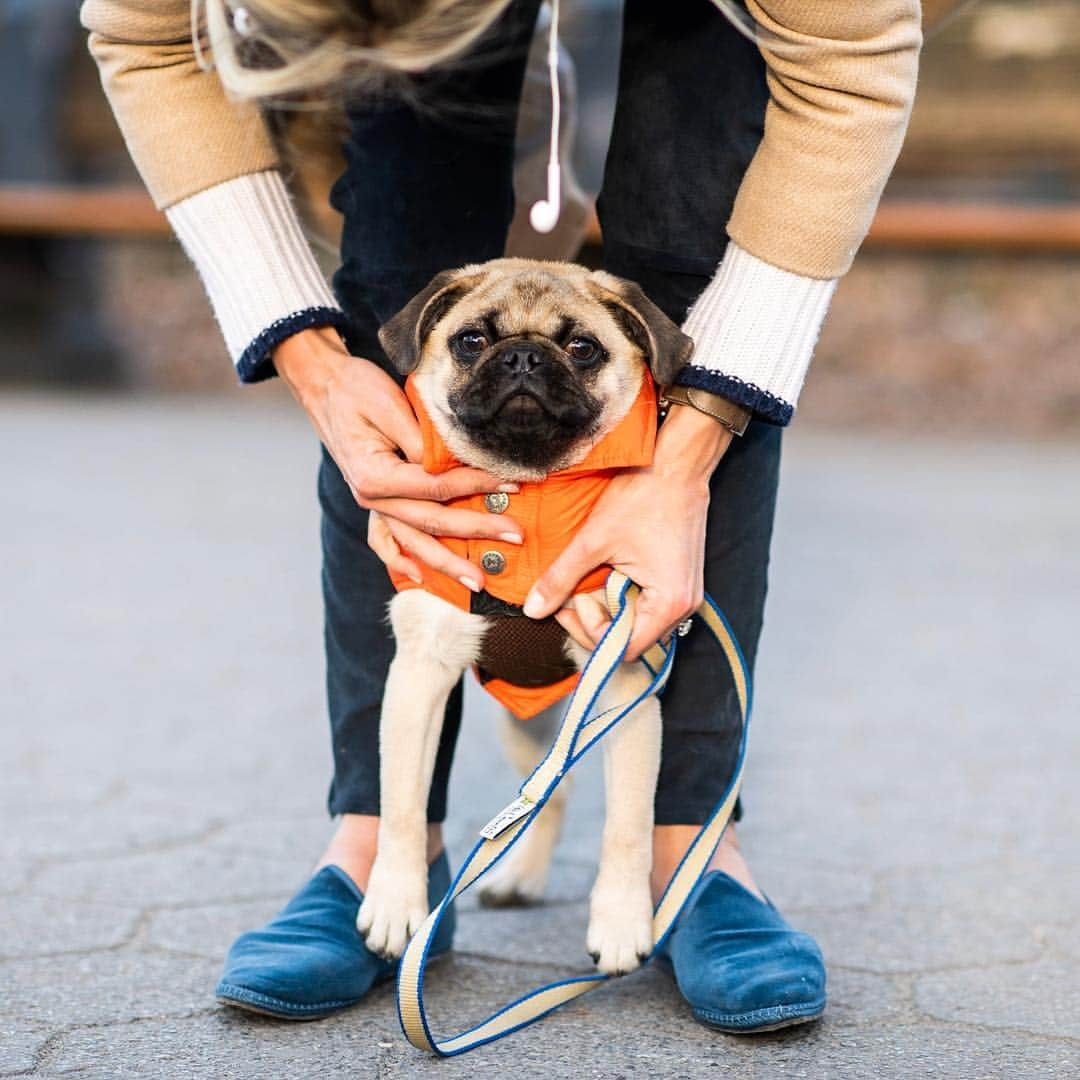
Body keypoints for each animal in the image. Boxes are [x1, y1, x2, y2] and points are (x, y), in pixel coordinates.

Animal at [356, 257, 691, 976]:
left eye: (583, 348)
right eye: (471, 341)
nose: (523, 358)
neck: (530, 490)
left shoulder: (627, 686)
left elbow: (628, 827)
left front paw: (620, 923)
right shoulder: (418, 679)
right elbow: (401, 808)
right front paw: (396, 904)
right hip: (524, 726)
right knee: (546, 792)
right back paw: (516, 879)